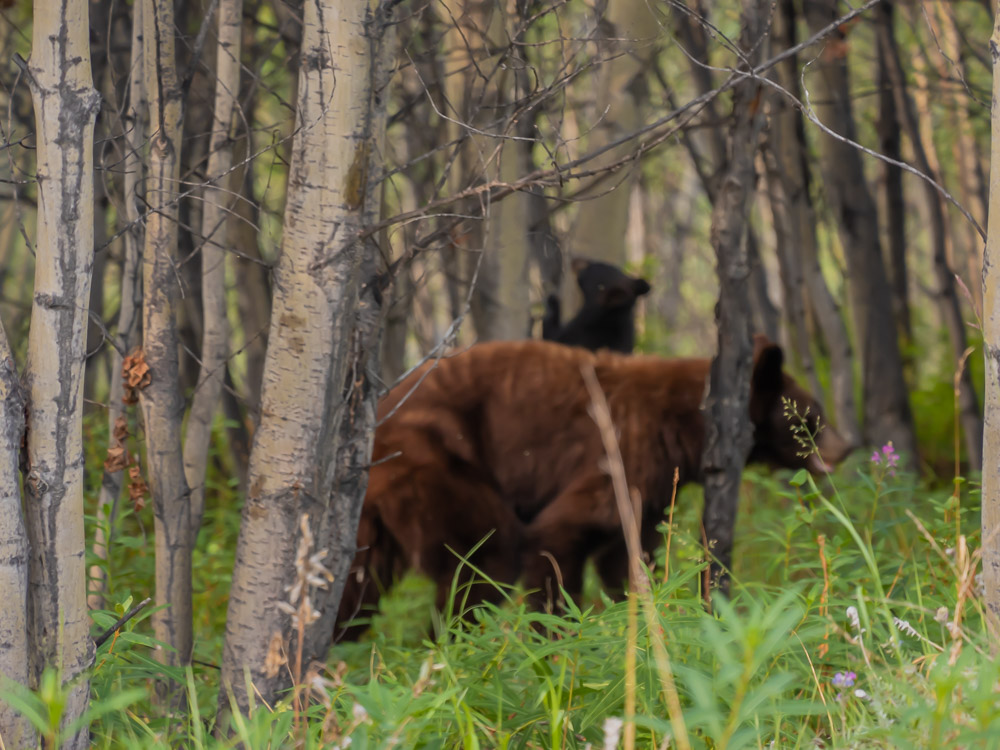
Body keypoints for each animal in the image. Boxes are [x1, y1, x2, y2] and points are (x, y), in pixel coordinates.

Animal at [334, 338, 844, 636]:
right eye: (812, 417)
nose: (846, 447)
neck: (687, 423)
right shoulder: (620, 452)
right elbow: (559, 536)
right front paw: (559, 640)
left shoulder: (648, 489)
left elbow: (629, 555)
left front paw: (640, 612)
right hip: (436, 462)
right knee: (487, 556)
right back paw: (457, 647)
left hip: (374, 518)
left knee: (355, 589)